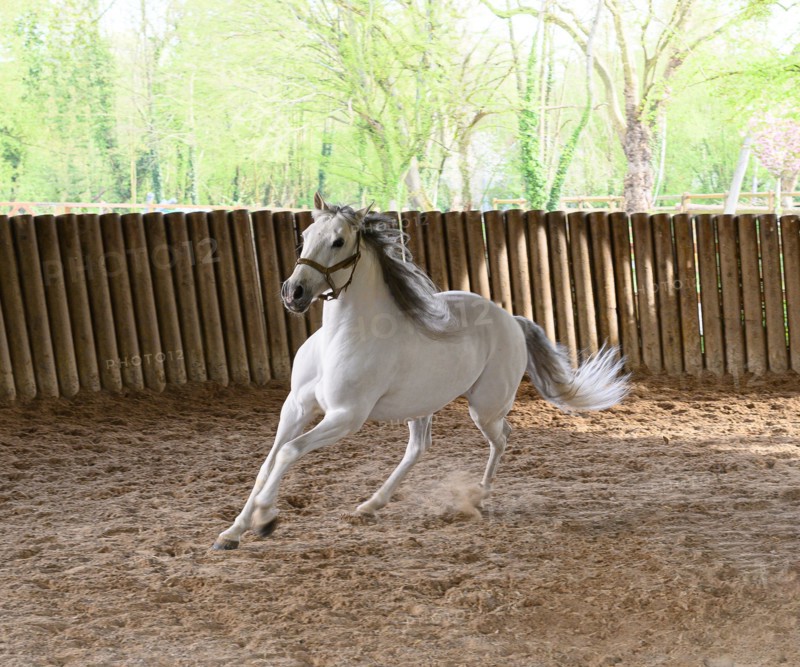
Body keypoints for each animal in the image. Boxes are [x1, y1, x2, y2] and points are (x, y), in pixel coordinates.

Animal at [212, 194, 629, 550]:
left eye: (339, 241)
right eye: (305, 237)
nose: (293, 293)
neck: (340, 339)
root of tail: (511, 319)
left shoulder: (346, 417)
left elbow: (289, 453)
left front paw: (265, 519)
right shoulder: (296, 407)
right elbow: (267, 464)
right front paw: (232, 532)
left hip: (484, 407)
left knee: (502, 437)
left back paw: (479, 496)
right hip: (421, 405)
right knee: (419, 447)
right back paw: (371, 505)